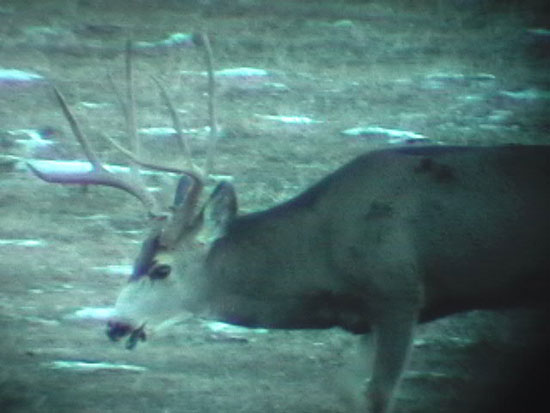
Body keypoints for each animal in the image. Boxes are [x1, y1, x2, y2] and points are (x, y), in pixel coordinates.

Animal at [29, 38, 550, 412]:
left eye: (161, 268)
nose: (115, 326)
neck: (321, 250)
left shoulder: (400, 294)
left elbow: (379, 395)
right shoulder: (365, 318)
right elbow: (347, 391)